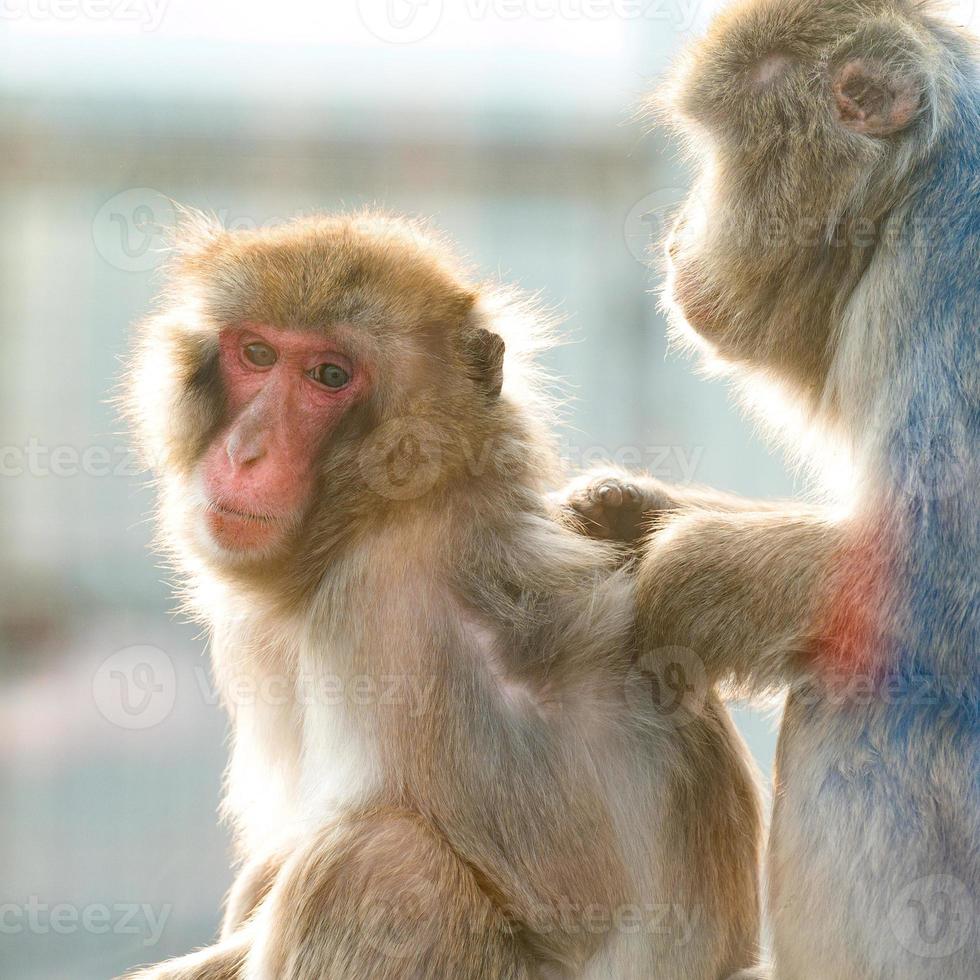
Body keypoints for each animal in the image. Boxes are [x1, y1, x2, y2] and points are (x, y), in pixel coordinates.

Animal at [568, 1, 980, 980]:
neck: (904, 196)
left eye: (715, 150)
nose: (678, 228)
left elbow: (945, 562)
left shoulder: (942, 278)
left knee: (869, 688)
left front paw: (678, 585)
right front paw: (633, 516)